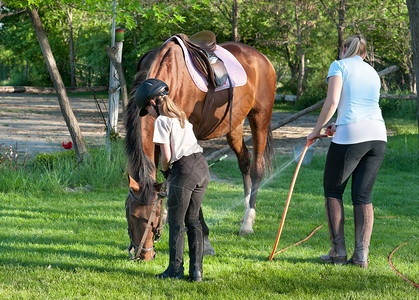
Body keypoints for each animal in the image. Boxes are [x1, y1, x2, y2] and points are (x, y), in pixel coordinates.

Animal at [124, 35, 276, 260]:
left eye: (152, 218)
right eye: (129, 214)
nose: (143, 254)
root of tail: (261, 57)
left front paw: (204, 241)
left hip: (260, 118)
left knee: (257, 168)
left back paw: (248, 221)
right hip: (234, 126)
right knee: (244, 163)